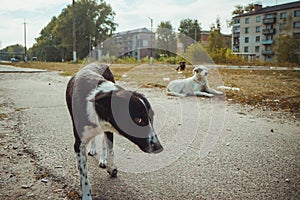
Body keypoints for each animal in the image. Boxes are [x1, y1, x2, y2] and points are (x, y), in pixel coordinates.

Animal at [66, 63, 163, 200]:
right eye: (138, 120)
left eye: (152, 117)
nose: (159, 147)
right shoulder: (78, 144)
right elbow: (84, 175)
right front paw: (86, 194)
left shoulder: (109, 129)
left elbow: (110, 150)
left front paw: (111, 168)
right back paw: (93, 149)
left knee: (104, 141)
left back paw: (103, 159)